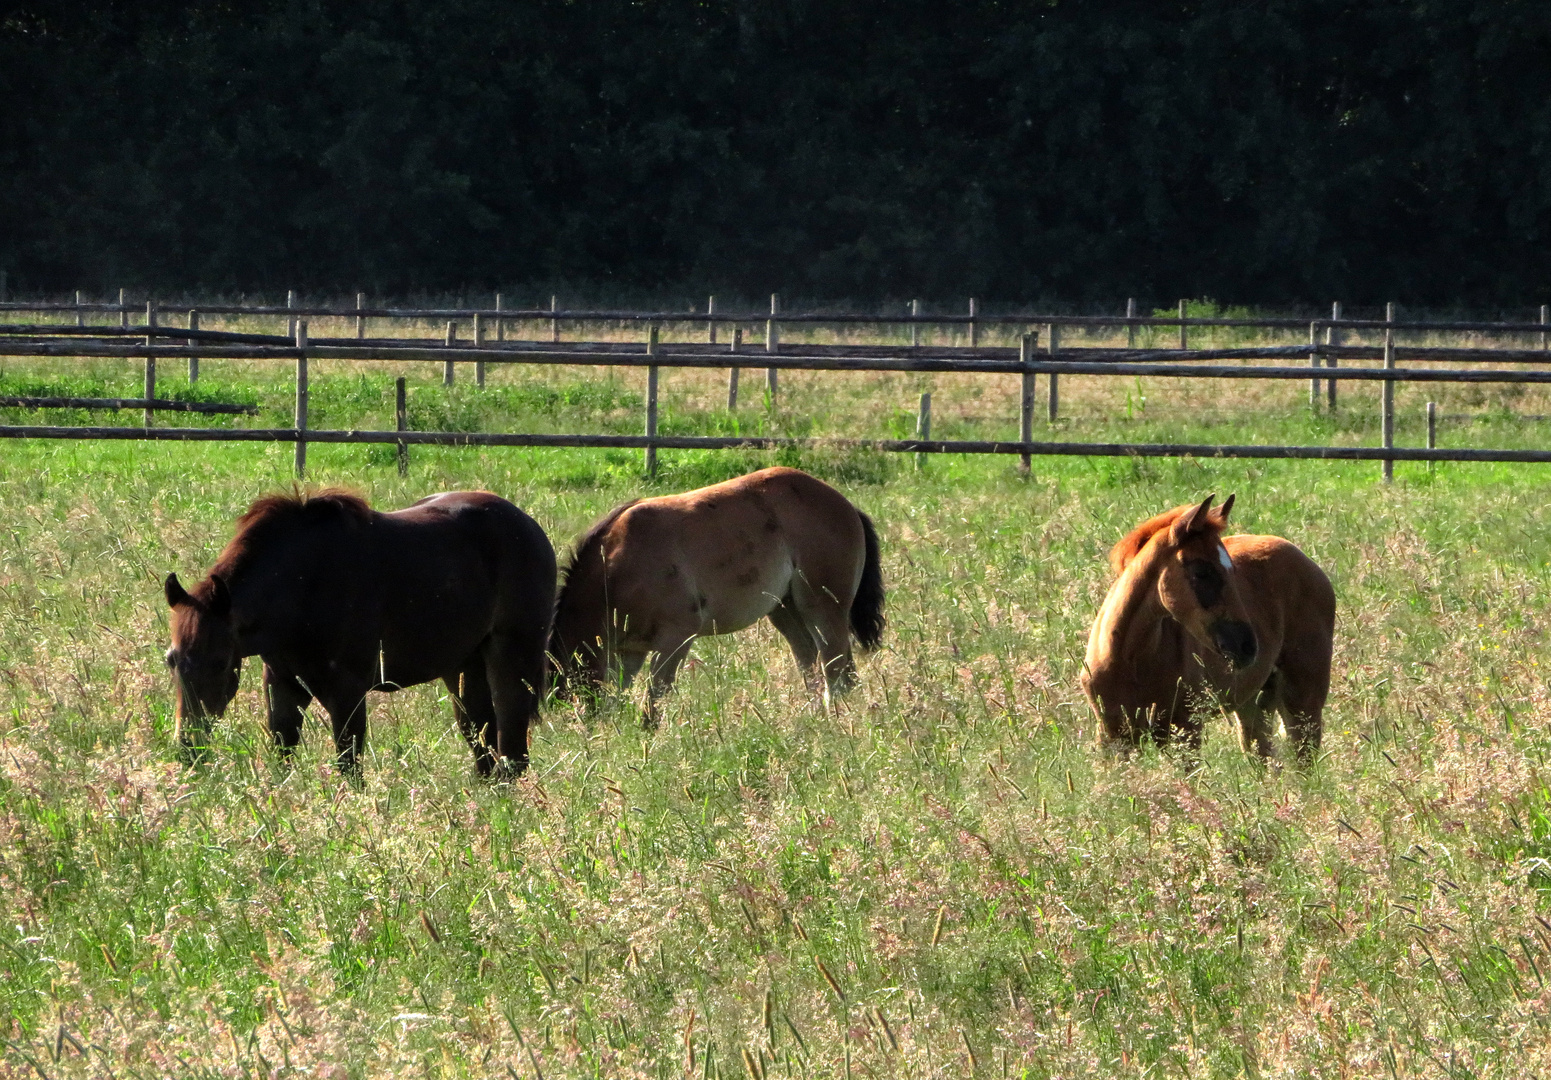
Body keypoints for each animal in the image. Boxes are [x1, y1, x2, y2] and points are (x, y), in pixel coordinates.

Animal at [162, 490, 558, 775]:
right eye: (172, 660)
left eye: (219, 662)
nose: (189, 748)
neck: (304, 585)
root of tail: (531, 527)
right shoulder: (283, 684)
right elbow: (283, 751)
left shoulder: (347, 691)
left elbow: (348, 764)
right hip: (463, 668)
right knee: (483, 744)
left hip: (511, 660)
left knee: (513, 745)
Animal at [552, 465, 887, 713]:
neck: (618, 565)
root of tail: (846, 505)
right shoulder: (630, 650)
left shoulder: (676, 638)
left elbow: (653, 702)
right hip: (785, 611)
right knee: (814, 669)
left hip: (822, 608)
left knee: (837, 674)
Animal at [1085, 493, 1340, 763]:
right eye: (1201, 571)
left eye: (1233, 571)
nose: (1247, 647)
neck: (1128, 658)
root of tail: (1308, 563)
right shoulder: (1111, 735)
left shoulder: (1185, 730)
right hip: (1253, 701)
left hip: (1304, 697)